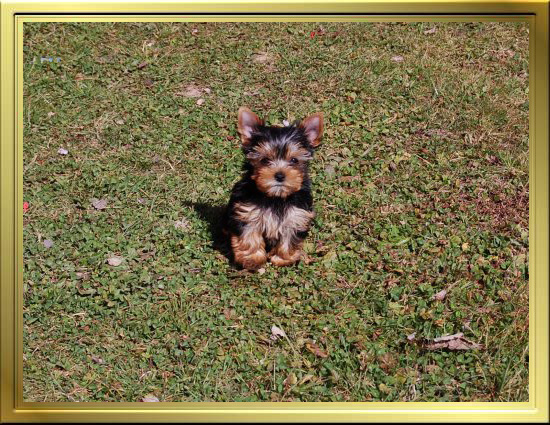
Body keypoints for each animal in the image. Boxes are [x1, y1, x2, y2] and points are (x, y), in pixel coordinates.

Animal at [224, 107, 324, 270]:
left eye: (294, 160)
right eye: (265, 160)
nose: (280, 175)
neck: (276, 197)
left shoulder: (296, 216)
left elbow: (289, 239)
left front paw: (282, 259)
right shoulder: (248, 213)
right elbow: (249, 236)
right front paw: (252, 260)